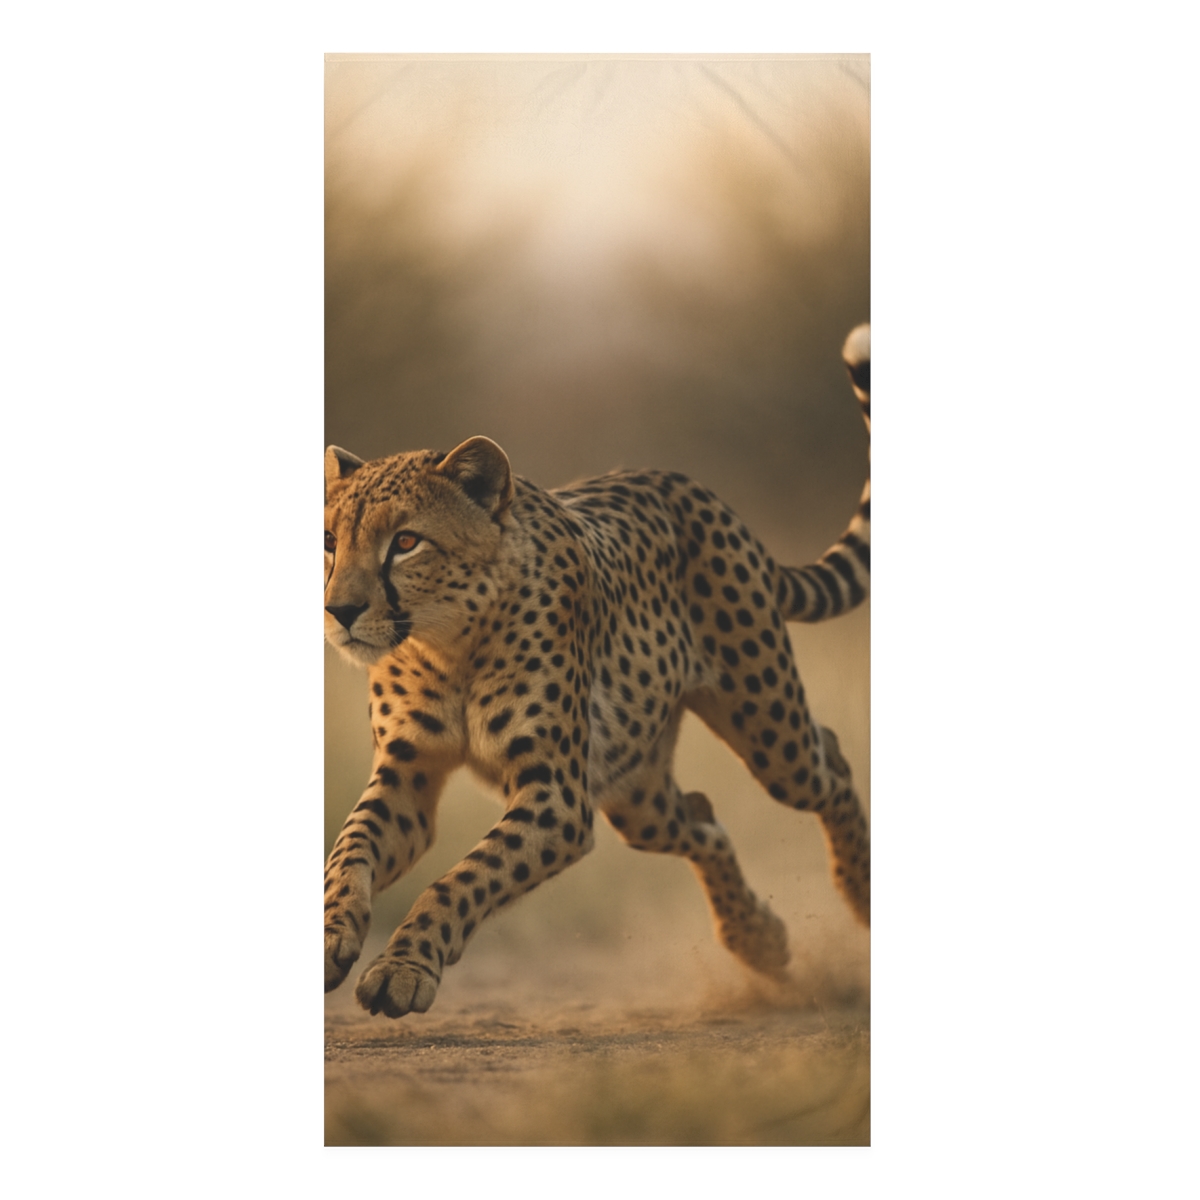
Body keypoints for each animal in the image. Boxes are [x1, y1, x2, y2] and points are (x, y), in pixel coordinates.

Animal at [323, 323, 871, 1018]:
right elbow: (349, 847)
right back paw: (757, 938)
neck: (446, 646)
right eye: (329, 542)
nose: (339, 611)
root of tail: (684, 482)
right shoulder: (408, 774)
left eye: (405, 542)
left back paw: (858, 891)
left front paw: (404, 968)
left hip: (769, 734)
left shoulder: (558, 796)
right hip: (634, 791)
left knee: (829, 760)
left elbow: (464, 878)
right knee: (700, 814)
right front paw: (331, 933)